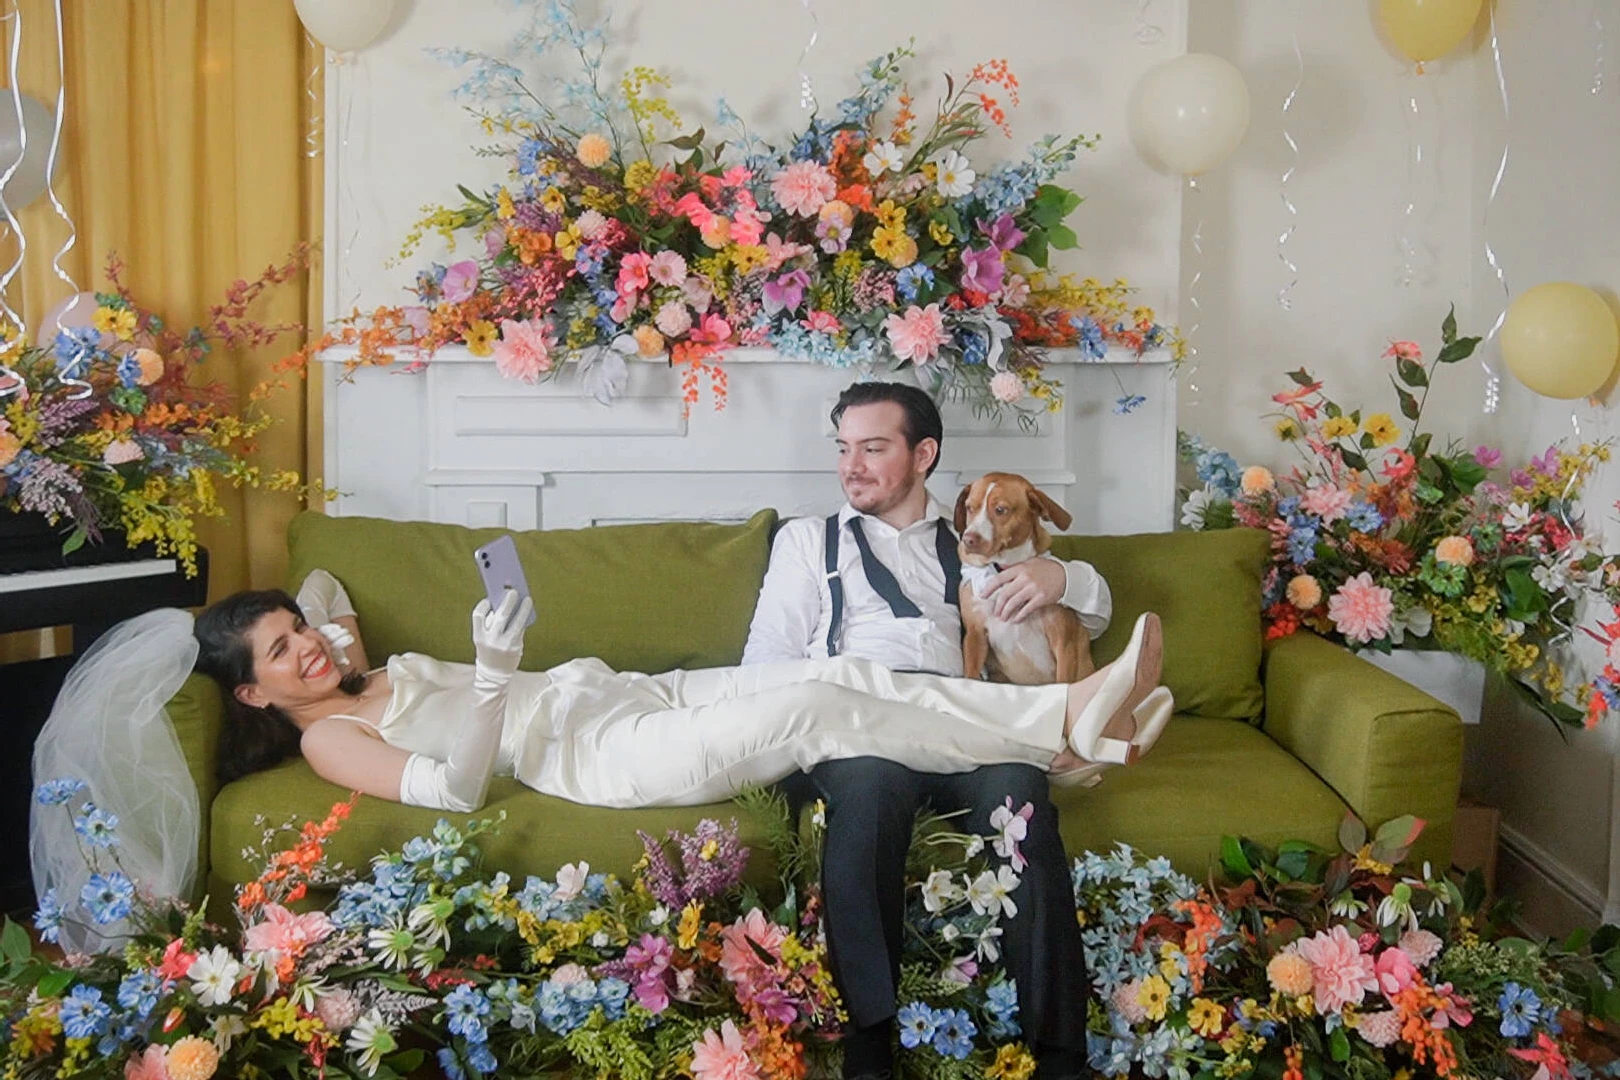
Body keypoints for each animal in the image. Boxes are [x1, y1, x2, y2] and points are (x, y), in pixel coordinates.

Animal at [952, 472, 1095, 683]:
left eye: (1000, 510)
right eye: (970, 508)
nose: (967, 539)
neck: (1005, 571)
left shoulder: (1063, 641)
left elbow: (1063, 681)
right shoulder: (975, 635)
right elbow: (971, 675)